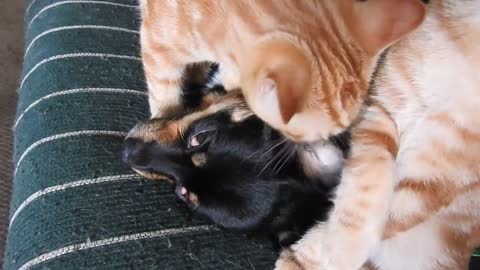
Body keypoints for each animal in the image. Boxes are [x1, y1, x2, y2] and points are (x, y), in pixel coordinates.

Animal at [272, 1, 480, 268]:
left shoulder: (432, 183)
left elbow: (394, 216)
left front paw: (325, 252)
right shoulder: (381, 110)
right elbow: (368, 183)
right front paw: (338, 244)